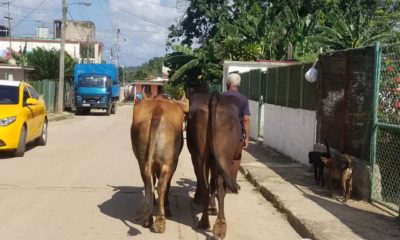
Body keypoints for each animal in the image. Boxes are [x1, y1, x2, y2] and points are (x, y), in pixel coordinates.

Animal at [130, 94, 188, 233]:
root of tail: (158, 109)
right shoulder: (172, 163)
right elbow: (167, 185)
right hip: (168, 163)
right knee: (161, 186)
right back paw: (161, 220)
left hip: (142, 161)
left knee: (148, 184)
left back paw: (148, 219)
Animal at [187, 91, 241, 239]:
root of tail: (214, 96)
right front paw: (211, 206)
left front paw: (204, 202)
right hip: (222, 154)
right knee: (218, 185)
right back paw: (217, 224)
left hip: (203, 155)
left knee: (207, 183)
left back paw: (209, 222)